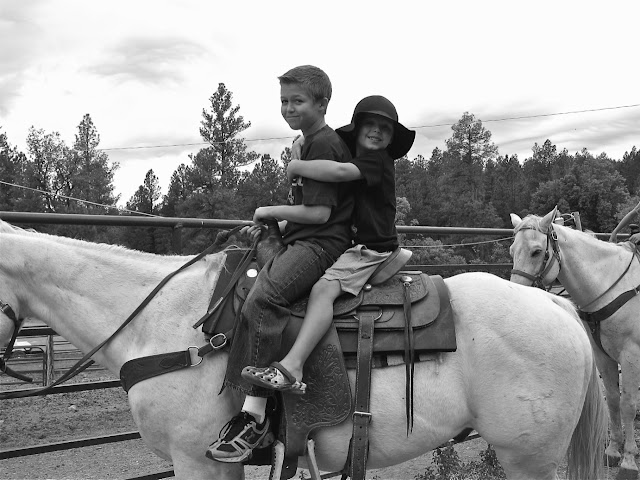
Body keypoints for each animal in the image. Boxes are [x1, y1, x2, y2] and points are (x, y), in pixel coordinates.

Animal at [510, 206, 640, 479]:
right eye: (512, 251)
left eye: (536, 251)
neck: (612, 285)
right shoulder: (602, 355)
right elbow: (613, 400)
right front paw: (613, 451)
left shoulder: (631, 355)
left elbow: (628, 404)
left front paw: (629, 461)